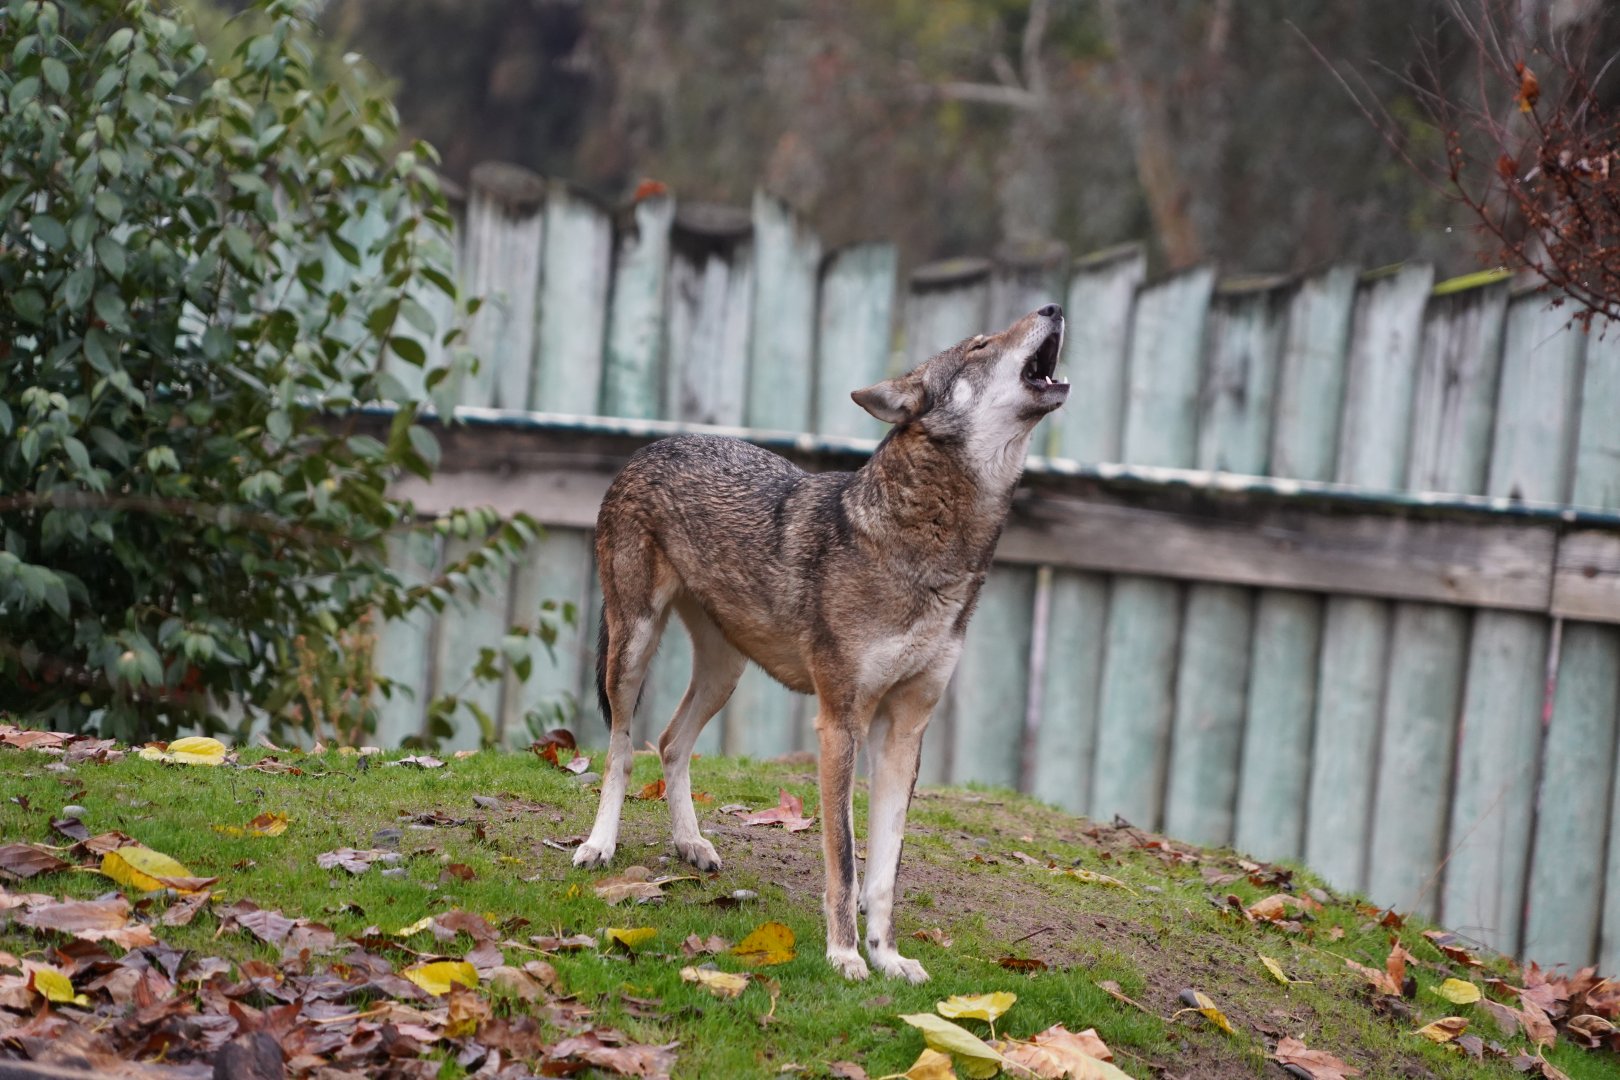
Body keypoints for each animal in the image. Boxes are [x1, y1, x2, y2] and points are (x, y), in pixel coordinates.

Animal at [573, 304, 1068, 982]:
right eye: (979, 344)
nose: (1053, 307)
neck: (929, 551)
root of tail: (656, 444)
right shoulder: (840, 723)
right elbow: (845, 861)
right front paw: (844, 956)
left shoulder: (904, 733)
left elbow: (884, 874)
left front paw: (888, 958)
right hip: (633, 648)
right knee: (623, 747)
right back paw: (599, 844)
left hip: (725, 675)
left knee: (671, 743)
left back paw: (691, 844)